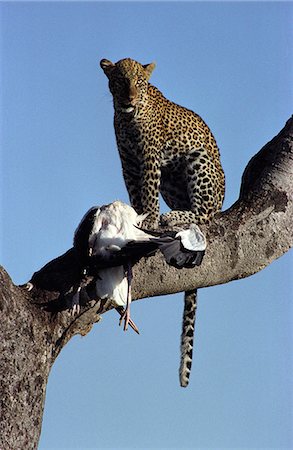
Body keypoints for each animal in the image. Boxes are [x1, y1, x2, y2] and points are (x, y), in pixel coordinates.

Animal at [99, 56, 225, 386]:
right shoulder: (129, 162)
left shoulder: (150, 158)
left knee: (204, 213)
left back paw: (173, 216)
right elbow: (135, 195)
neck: (128, 120)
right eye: (120, 81)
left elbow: (148, 194)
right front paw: (136, 217)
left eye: (139, 83)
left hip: (197, 162)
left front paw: (151, 220)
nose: (129, 99)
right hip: (172, 178)